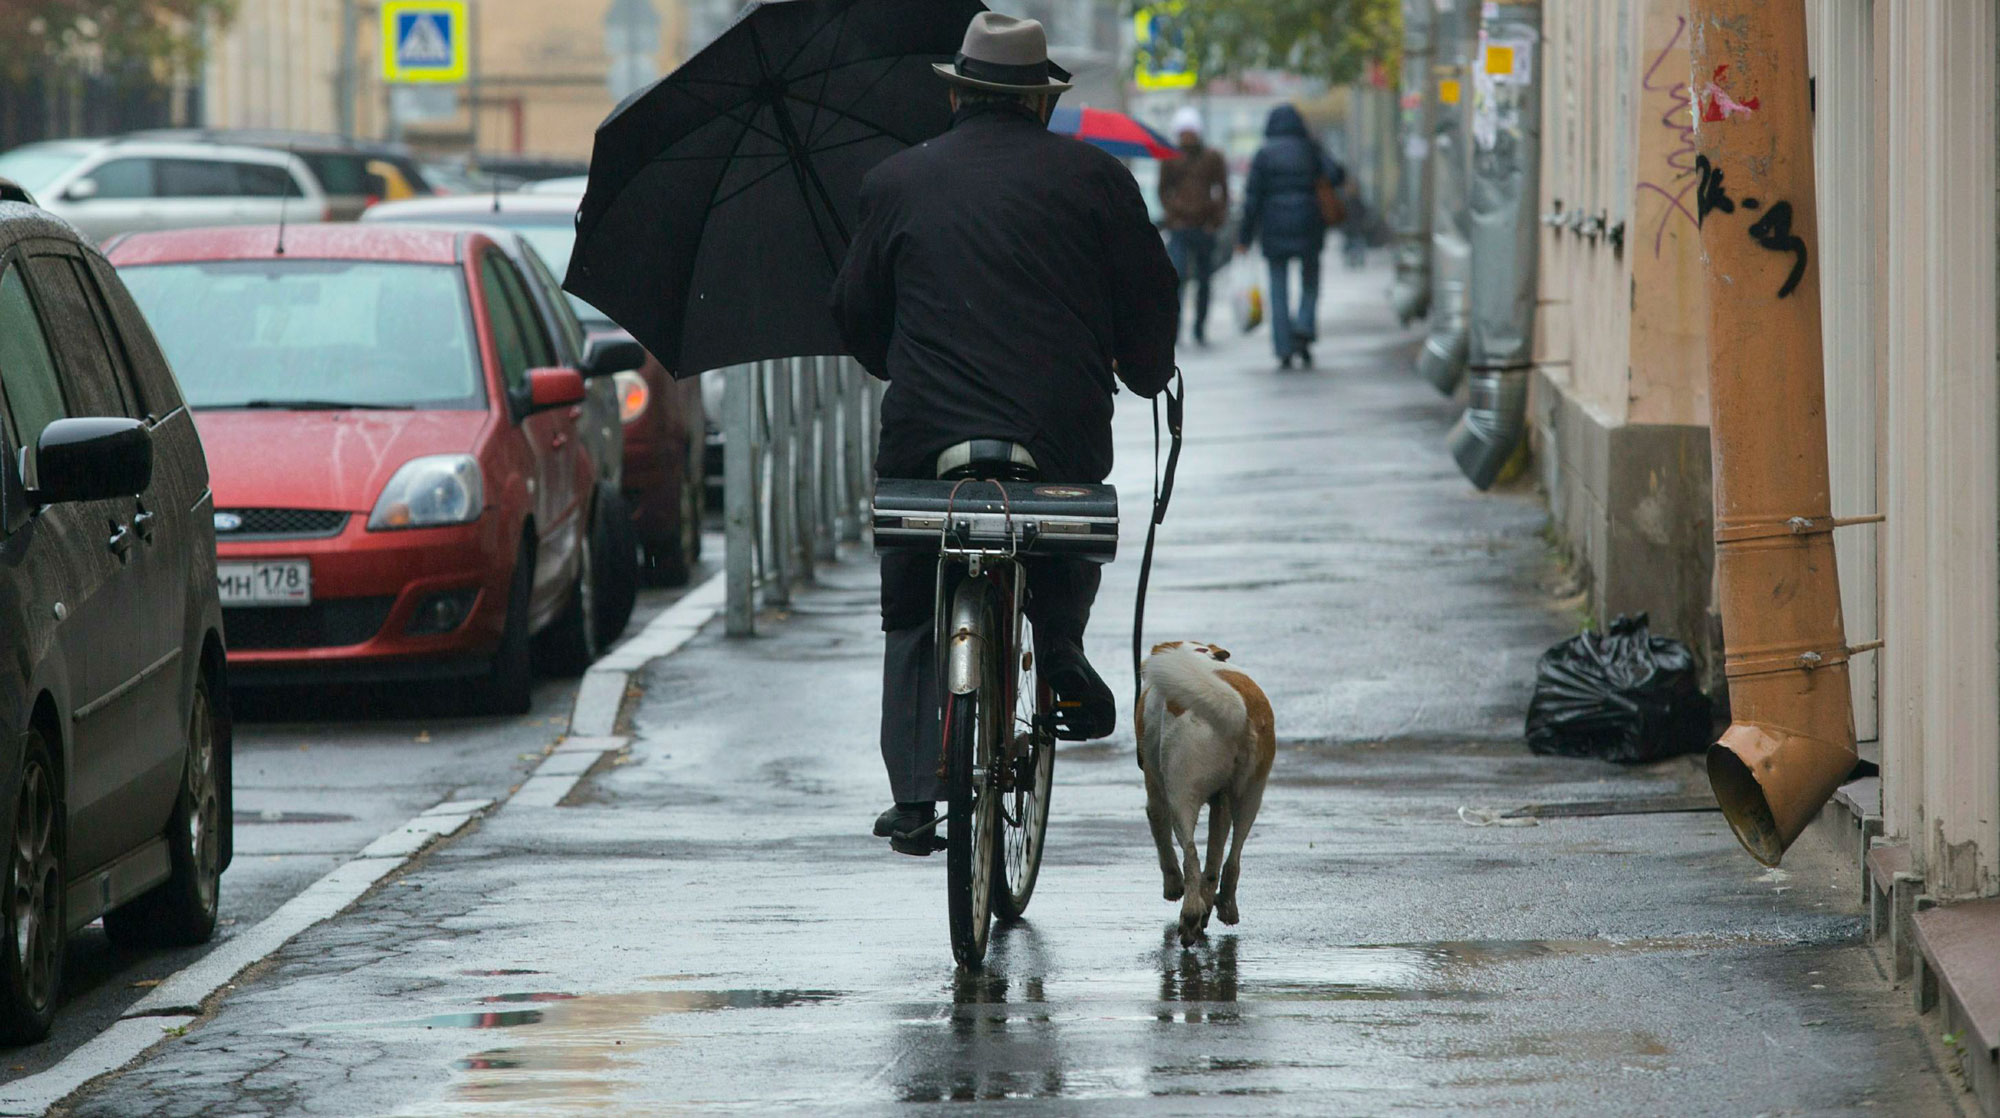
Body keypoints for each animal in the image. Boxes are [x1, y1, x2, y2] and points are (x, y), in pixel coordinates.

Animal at [1136, 640, 1272, 944]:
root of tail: (1238, 709)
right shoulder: (1221, 803)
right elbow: (1216, 853)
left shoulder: (1156, 794)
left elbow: (1160, 832)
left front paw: (1172, 886)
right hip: (1250, 795)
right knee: (1229, 862)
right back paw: (1222, 908)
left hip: (1180, 791)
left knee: (1190, 856)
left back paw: (1189, 917)